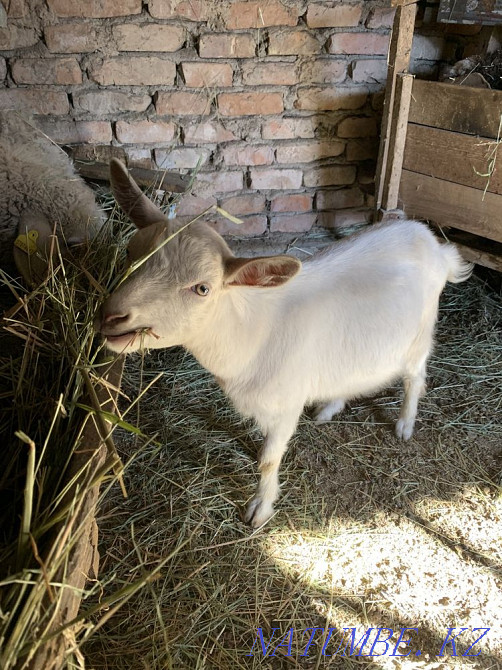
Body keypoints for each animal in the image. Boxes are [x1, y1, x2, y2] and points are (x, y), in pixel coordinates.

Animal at [99, 158, 473, 527]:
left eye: (202, 288)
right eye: (131, 251)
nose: (113, 316)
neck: (249, 331)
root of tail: (434, 244)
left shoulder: (286, 407)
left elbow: (268, 460)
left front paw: (259, 510)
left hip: (419, 336)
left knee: (415, 378)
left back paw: (405, 424)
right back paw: (329, 408)